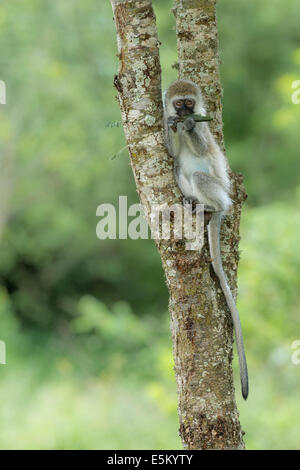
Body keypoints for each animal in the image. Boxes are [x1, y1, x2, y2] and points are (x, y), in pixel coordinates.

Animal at [164, 80, 248, 400]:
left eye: (189, 103)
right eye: (178, 103)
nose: (184, 114)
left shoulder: (203, 127)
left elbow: (200, 142)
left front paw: (188, 127)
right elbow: (171, 153)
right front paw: (173, 126)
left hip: (218, 190)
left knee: (202, 179)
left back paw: (210, 208)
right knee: (178, 168)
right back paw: (194, 204)